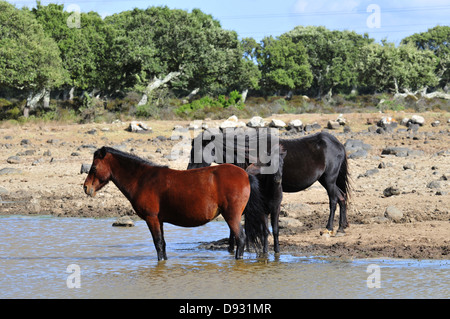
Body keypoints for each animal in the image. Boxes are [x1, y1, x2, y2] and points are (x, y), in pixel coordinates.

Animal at [84, 146, 266, 262]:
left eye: (93, 167)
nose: (86, 187)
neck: (142, 179)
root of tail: (245, 175)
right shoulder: (159, 220)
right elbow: (163, 245)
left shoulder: (151, 218)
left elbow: (158, 244)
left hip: (232, 216)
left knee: (241, 239)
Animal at [186, 129, 352, 246]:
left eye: (197, 152)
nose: (189, 171)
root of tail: (337, 144)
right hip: (326, 180)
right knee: (342, 198)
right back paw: (341, 228)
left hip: (329, 180)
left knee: (334, 199)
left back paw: (329, 229)